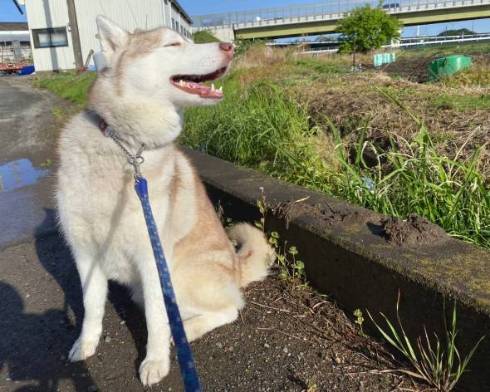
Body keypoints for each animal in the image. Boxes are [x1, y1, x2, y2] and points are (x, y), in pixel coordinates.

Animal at [57, 16, 276, 386]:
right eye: (173, 44)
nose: (230, 46)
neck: (126, 148)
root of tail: (236, 267)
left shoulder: (152, 258)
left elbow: (158, 321)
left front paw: (155, 361)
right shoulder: (84, 253)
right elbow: (91, 307)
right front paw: (85, 344)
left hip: (179, 274)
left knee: (230, 308)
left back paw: (186, 331)